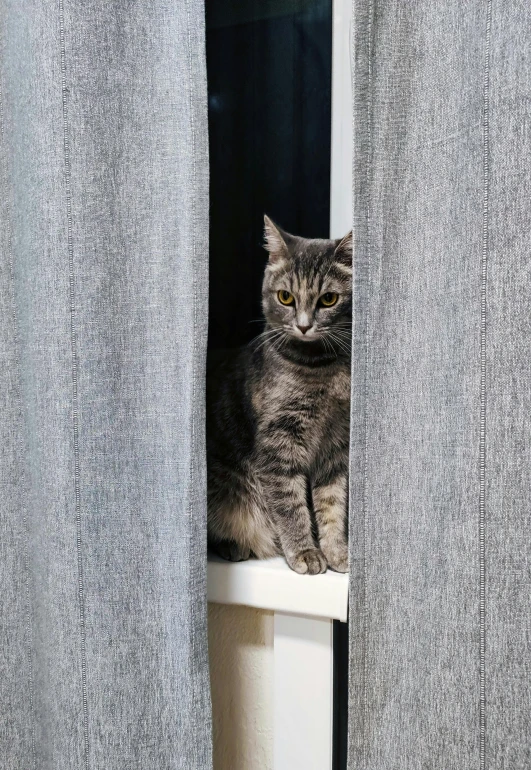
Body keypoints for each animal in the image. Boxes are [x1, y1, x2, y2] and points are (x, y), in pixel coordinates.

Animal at [208, 214, 354, 568]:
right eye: (285, 297)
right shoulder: (278, 443)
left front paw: (336, 551)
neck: (320, 368)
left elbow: (333, 504)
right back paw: (234, 546)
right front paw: (304, 552)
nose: (303, 325)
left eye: (328, 299)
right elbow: (289, 503)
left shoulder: (337, 447)